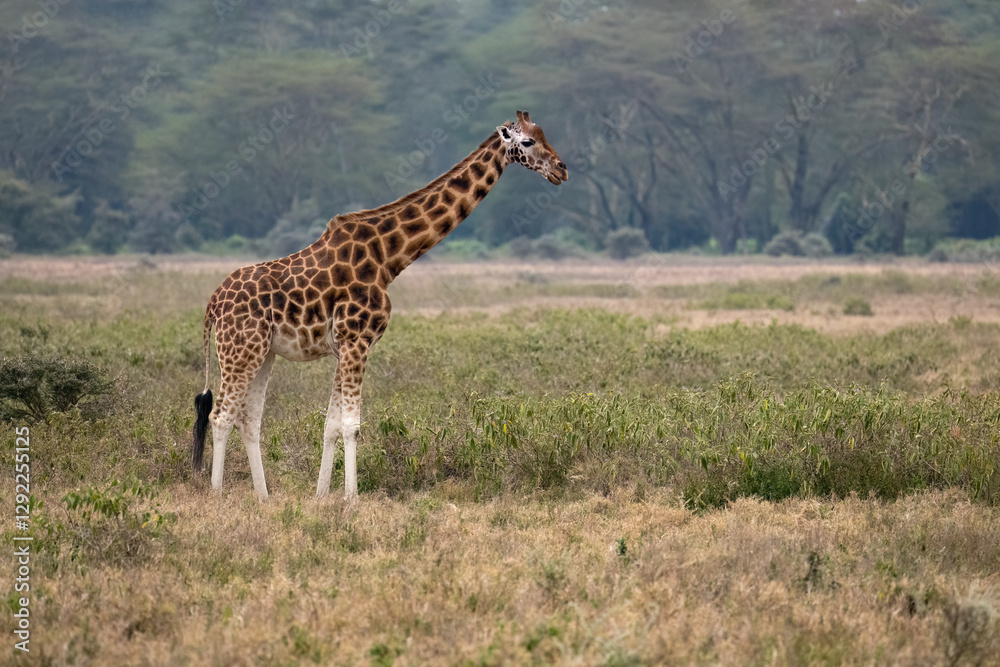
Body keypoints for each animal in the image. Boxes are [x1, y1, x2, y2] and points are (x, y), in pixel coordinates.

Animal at [192, 110, 568, 499]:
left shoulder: (344, 346)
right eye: (527, 141)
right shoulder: (356, 340)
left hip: (262, 352)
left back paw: (263, 498)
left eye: (544, 135)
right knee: (220, 416)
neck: (388, 259)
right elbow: (351, 425)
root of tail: (213, 304)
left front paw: (321, 496)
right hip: (240, 350)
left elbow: (330, 425)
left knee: (248, 418)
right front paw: (351, 498)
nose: (562, 169)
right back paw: (217, 494)